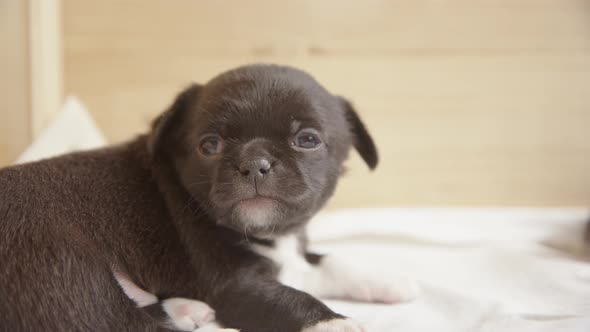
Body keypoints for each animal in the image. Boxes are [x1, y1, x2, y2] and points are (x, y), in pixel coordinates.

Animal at [0, 65, 418, 332]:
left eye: (308, 140)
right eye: (209, 146)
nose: (255, 163)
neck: (272, 235)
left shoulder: (294, 258)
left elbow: (330, 262)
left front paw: (386, 279)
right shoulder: (237, 287)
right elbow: (297, 301)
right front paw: (337, 324)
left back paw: (184, 308)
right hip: (64, 270)